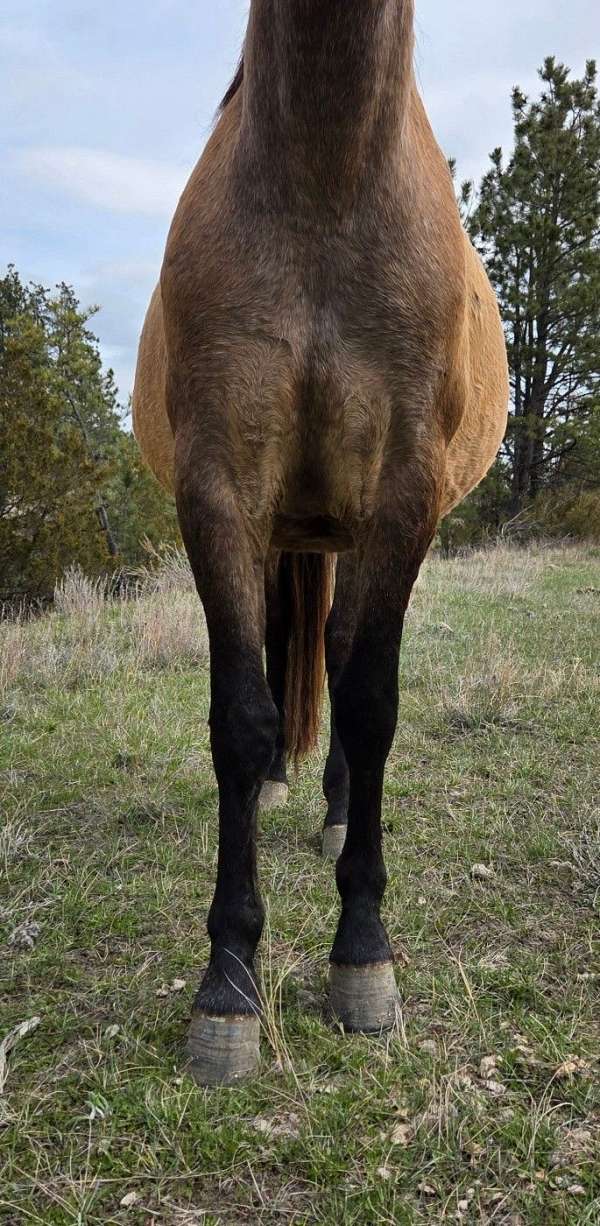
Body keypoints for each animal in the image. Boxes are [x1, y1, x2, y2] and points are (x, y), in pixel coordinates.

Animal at [132, 0, 508, 1086]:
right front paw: (227, 985)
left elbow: (372, 699)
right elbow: (241, 716)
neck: (325, 189)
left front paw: (362, 956)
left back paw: (339, 805)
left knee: (341, 660)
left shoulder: (404, 496)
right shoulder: (221, 493)